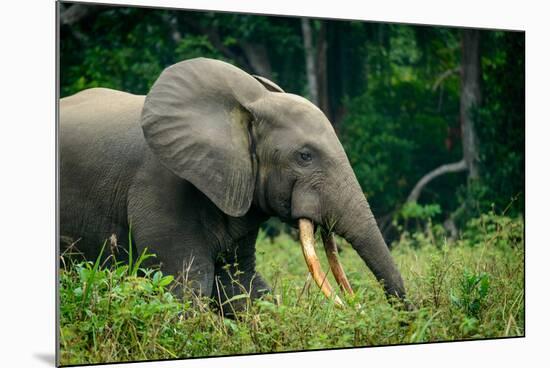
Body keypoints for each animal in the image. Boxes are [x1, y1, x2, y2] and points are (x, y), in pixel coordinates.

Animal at [60, 56, 408, 314]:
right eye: (305, 156)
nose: (358, 307)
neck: (247, 107)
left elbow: (241, 284)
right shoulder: (160, 186)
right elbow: (188, 287)